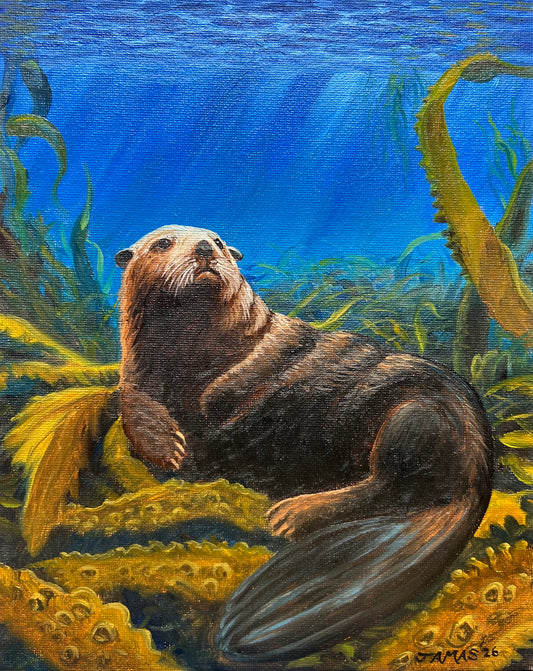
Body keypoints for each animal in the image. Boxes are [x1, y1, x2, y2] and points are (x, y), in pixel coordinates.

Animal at [115, 225, 493, 665]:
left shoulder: (238, 385)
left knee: (387, 485)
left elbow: (230, 413)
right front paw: (167, 448)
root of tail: (476, 476)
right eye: (163, 243)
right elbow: (131, 403)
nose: (206, 248)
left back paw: (294, 513)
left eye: (219, 241)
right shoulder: (137, 374)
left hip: (414, 418)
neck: (191, 358)